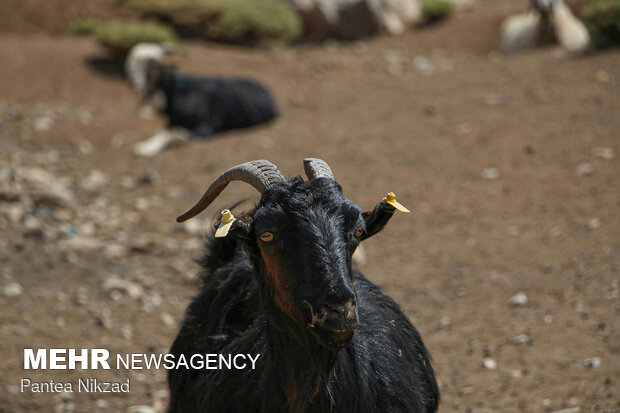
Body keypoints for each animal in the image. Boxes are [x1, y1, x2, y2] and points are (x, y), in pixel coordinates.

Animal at [134, 57, 278, 154]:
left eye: (165, 74)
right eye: (147, 75)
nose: (157, 104)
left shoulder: (206, 127)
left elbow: (174, 133)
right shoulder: (173, 121)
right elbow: (163, 131)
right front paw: (144, 147)